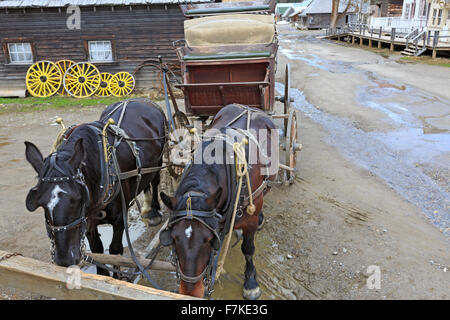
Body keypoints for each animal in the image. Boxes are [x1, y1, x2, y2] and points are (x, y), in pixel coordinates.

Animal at [24, 98, 166, 276]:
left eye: (78, 200)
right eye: (41, 203)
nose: (64, 260)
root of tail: (138, 99)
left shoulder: (120, 218)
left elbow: (115, 250)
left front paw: (117, 276)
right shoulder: (88, 221)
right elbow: (98, 251)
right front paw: (102, 275)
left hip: (159, 160)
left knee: (155, 180)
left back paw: (153, 212)